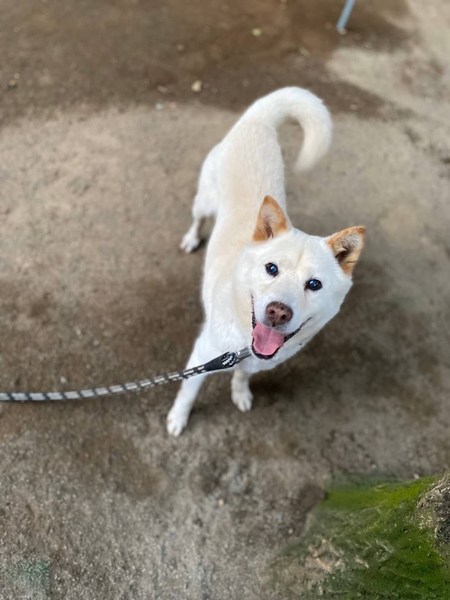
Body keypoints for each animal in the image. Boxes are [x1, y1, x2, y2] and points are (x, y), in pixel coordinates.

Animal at [167, 87, 365, 436]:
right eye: (271, 268)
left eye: (314, 284)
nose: (277, 312)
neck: (244, 343)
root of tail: (257, 120)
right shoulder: (200, 359)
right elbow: (187, 395)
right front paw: (178, 419)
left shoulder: (255, 362)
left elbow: (242, 376)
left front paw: (240, 393)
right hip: (204, 201)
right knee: (198, 218)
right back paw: (191, 238)